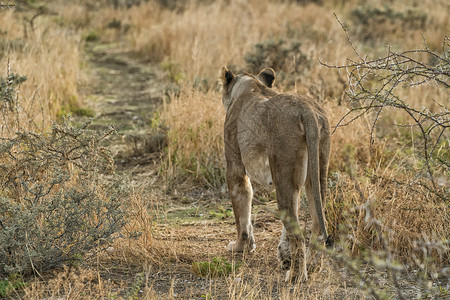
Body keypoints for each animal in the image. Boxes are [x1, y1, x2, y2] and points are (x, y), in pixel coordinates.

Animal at [220, 65, 332, 282]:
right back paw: (312, 265)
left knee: (298, 233)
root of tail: (307, 110)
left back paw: (296, 276)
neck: (251, 84)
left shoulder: (234, 165)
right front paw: (284, 255)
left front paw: (240, 246)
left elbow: (242, 207)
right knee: (316, 221)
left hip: (283, 171)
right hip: (317, 170)